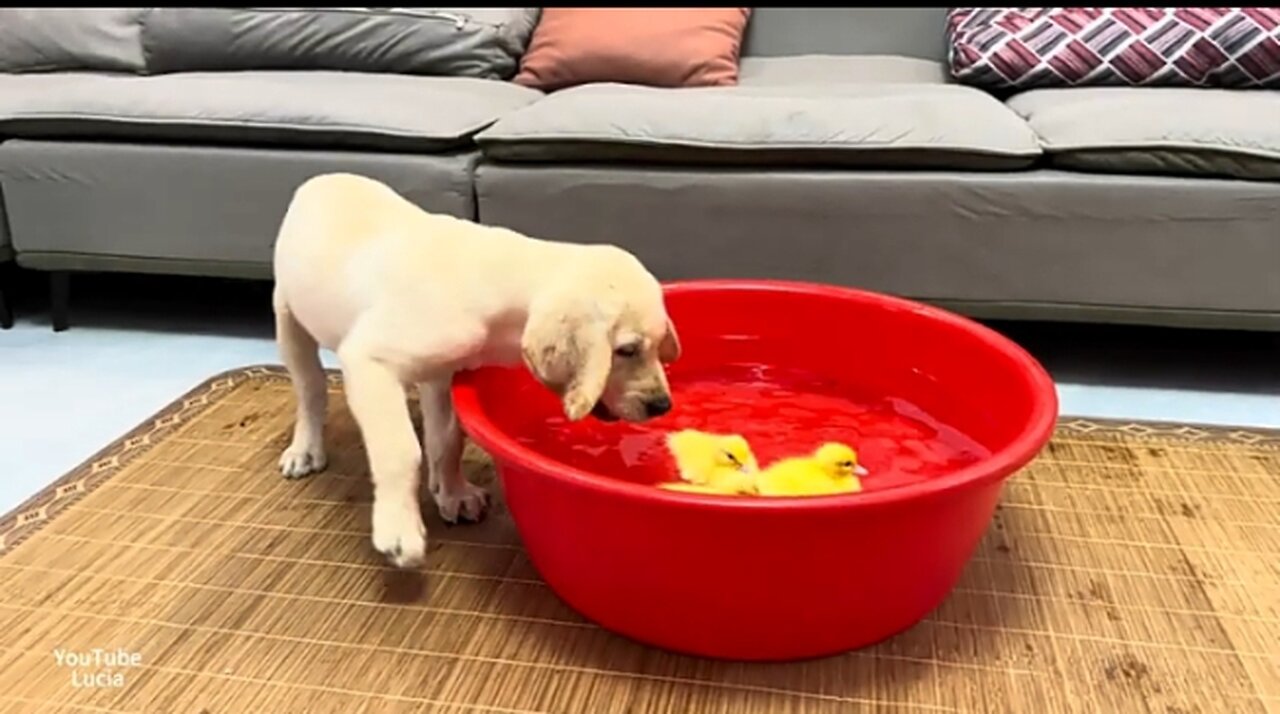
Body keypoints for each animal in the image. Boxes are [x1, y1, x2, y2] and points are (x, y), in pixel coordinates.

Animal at [273, 174, 680, 570]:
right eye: (626, 351)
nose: (662, 405)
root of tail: (322, 178)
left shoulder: (445, 374)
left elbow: (447, 441)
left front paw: (454, 493)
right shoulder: (368, 360)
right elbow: (401, 450)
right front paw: (399, 530)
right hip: (288, 316)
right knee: (311, 391)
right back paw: (304, 450)